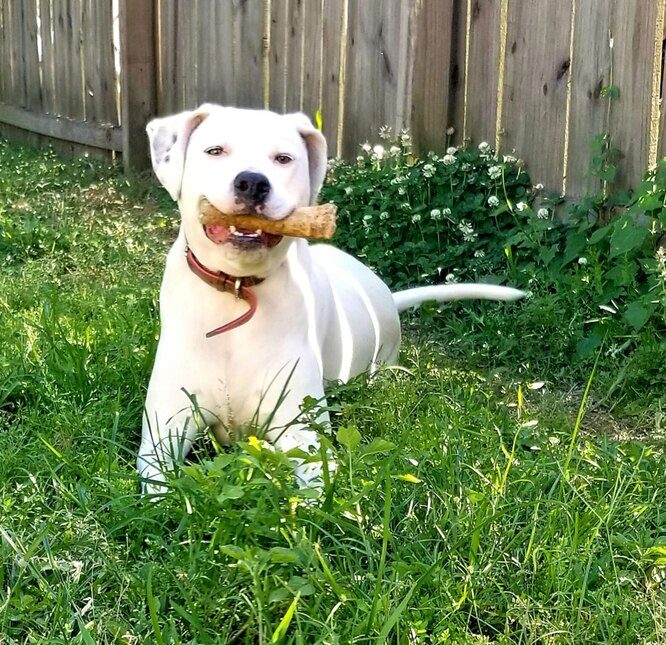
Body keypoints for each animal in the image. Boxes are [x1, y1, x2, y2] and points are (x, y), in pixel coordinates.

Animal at [137, 104, 520, 494]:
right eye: (215, 151)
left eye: (283, 158)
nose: (253, 182)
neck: (238, 292)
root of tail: (384, 293)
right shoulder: (164, 431)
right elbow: (157, 488)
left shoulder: (302, 431)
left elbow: (316, 486)